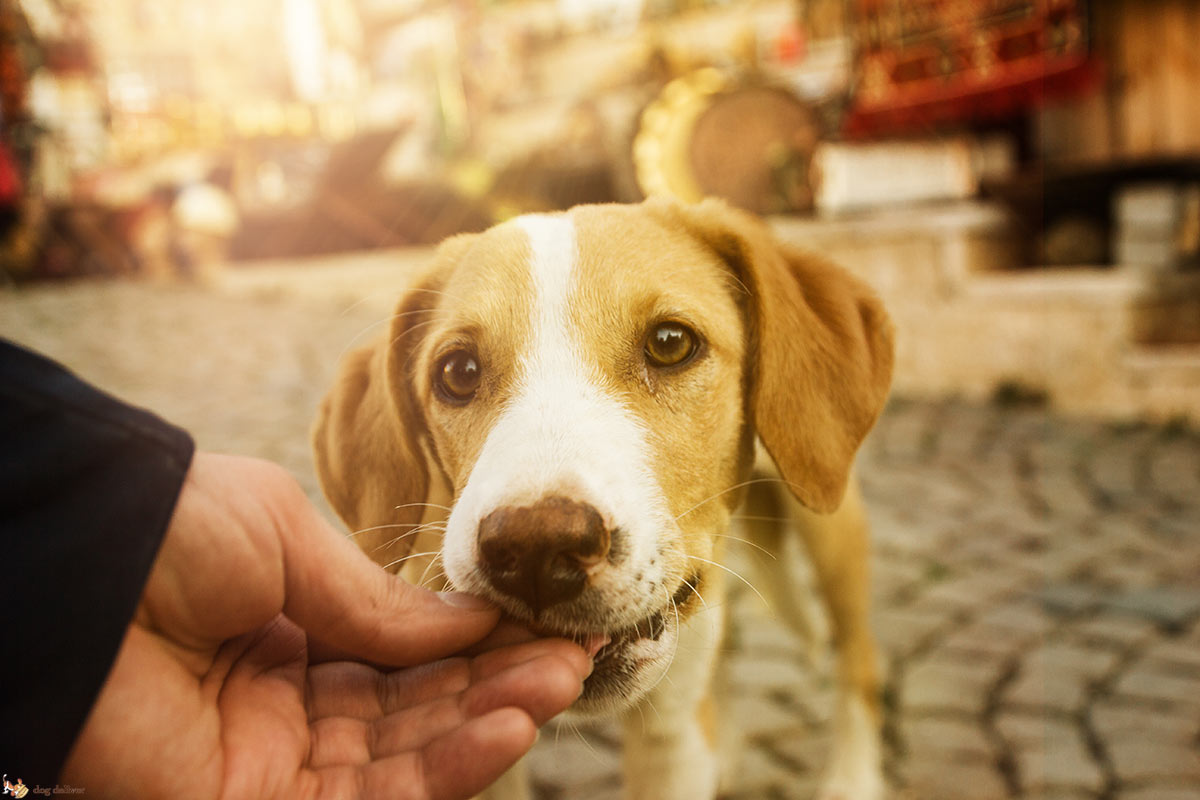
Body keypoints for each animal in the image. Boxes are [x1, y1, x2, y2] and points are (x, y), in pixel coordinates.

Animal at [314, 196, 897, 796]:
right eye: (458, 371)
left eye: (670, 343)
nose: (537, 550)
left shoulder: (669, 736)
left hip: (829, 518)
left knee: (859, 656)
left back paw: (851, 778)